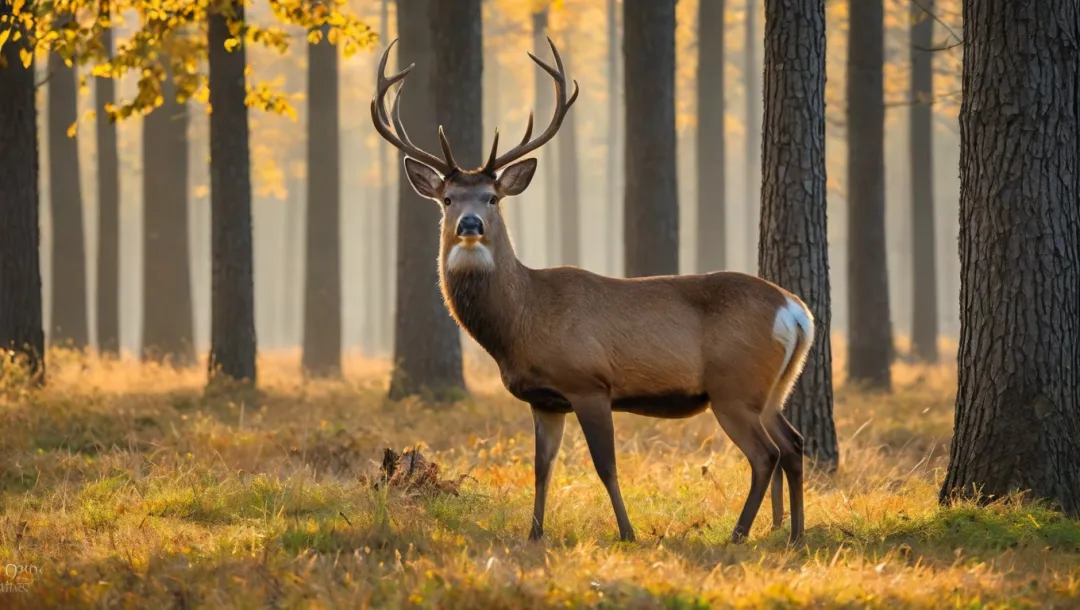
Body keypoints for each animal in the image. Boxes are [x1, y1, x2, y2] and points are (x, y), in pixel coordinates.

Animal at [371, 36, 812, 541]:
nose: (469, 224)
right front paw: (535, 533)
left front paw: (628, 532)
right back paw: (795, 534)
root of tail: (796, 310)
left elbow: (606, 466)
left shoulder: (589, 382)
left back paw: (739, 534)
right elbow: (542, 468)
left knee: (766, 454)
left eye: (492, 197)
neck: (523, 321)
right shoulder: (545, 400)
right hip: (772, 389)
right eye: (447, 198)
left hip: (734, 386)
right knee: (794, 443)